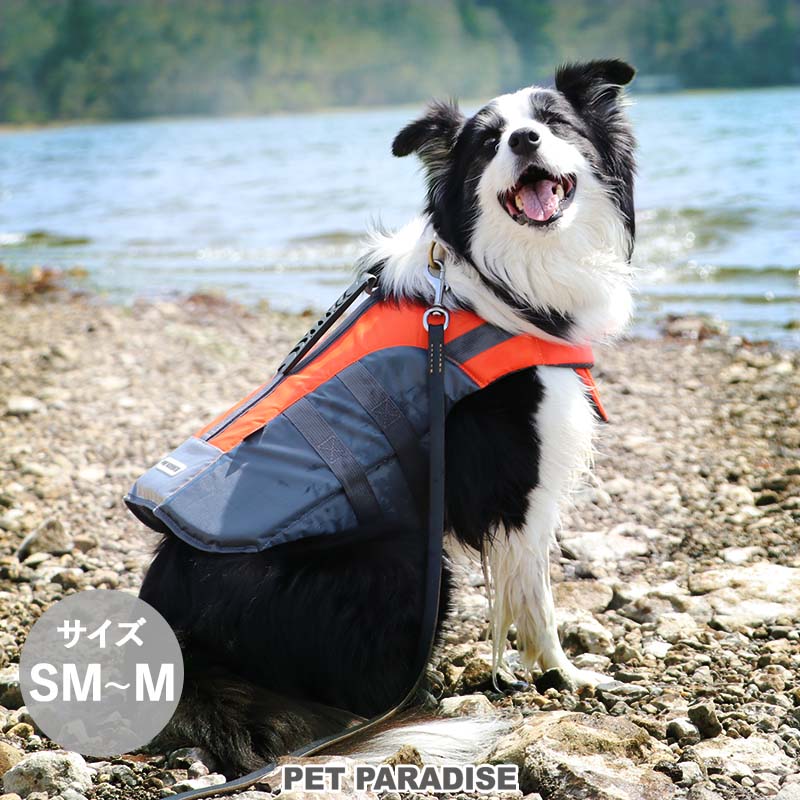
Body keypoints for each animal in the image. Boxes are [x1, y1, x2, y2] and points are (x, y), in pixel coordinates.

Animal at [139, 57, 636, 776]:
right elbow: (537, 598)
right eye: (488, 142)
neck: (506, 272)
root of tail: (174, 633)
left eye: (554, 122)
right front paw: (563, 675)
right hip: (403, 558)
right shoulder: (522, 488)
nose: (524, 141)